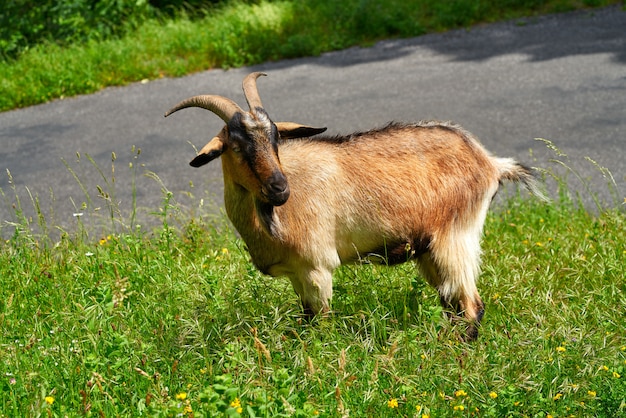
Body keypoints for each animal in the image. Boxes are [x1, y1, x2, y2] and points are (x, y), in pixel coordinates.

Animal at [163, 72, 544, 340]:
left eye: (275, 138)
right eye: (236, 145)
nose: (279, 188)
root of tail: (489, 163)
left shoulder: (317, 267)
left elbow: (320, 325)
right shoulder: (297, 274)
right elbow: (305, 321)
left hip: (455, 237)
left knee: (471, 306)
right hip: (428, 250)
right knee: (453, 304)